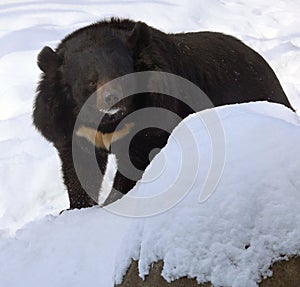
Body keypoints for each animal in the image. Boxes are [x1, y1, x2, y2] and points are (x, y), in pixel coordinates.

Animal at [33, 19, 292, 210]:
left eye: (122, 75)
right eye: (90, 81)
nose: (112, 99)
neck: (109, 120)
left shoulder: (152, 115)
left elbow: (135, 160)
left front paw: (112, 203)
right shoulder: (72, 127)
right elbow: (79, 166)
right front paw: (76, 208)